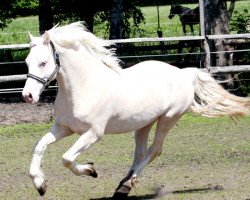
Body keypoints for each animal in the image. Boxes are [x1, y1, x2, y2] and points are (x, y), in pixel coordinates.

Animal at [22, 21, 249, 198]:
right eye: (27, 61)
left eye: (43, 62)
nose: (28, 96)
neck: (84, 87)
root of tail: (184, 73)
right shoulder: (63, 128)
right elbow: (39, 147)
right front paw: (40, 184)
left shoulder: (93, 133)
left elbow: (67, 158)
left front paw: (91, 170)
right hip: (144, 123)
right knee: (140, 153)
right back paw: (124, 184)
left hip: (168, 119)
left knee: (155, 150)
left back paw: (127, 184)